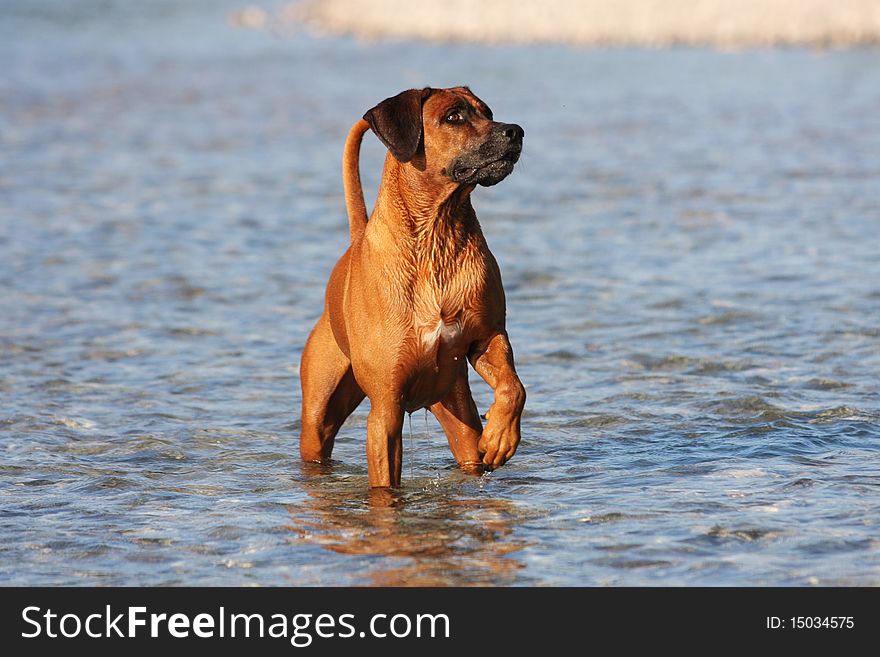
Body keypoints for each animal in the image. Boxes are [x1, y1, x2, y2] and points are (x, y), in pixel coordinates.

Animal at [300, 86, 524, 486]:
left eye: (488, 112)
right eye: (454, 117)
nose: (515, 131)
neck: (436, 236)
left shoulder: (488, 335)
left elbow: (514, 387)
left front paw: (501, 435)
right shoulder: (385, 409)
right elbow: (385, 484)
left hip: (455, 407)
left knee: (470, 449)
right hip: (318, 414)